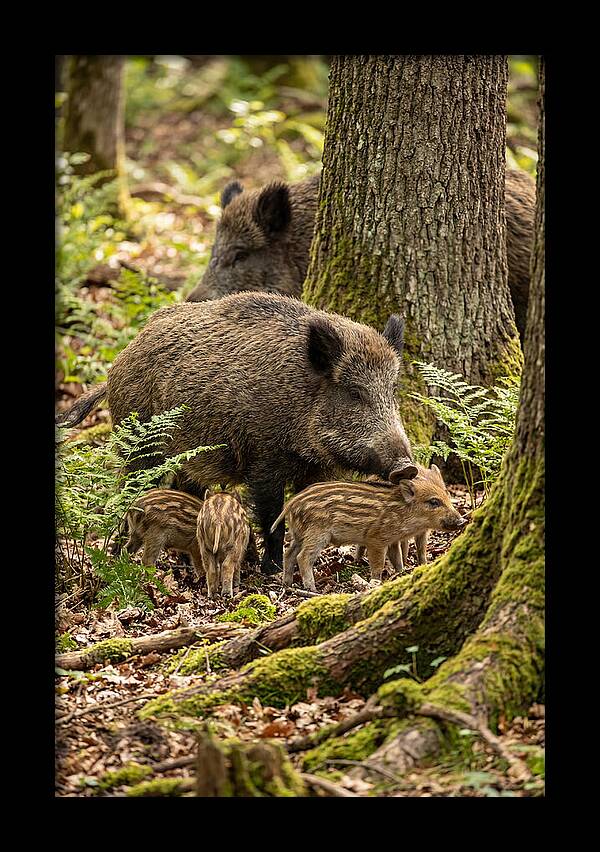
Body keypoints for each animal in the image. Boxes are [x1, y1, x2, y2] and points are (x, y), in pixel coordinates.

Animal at [56, 292, 417, 576]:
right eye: (354, 393)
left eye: (392, 390)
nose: (407, 466)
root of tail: (119, 361)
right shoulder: (264, 461)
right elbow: (272, 518)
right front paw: (271, 570)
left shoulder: (317, 470)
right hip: (141, 445)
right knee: (128, 491)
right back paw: (118, 554)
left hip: (188, 456)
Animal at [271, 473, 467, 591]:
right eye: (434, 502)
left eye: (447, 497)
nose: (462, 521)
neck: (402, 512)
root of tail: (292, 503)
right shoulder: (376, 540)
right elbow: (378, 564)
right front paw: (376, 582)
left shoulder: (392, 540)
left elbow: (397, 559)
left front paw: (401, 572)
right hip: (316, 534)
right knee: (303, 557)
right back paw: (312, 588)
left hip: (299, 534)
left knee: (289, 554)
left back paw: (287, 583)